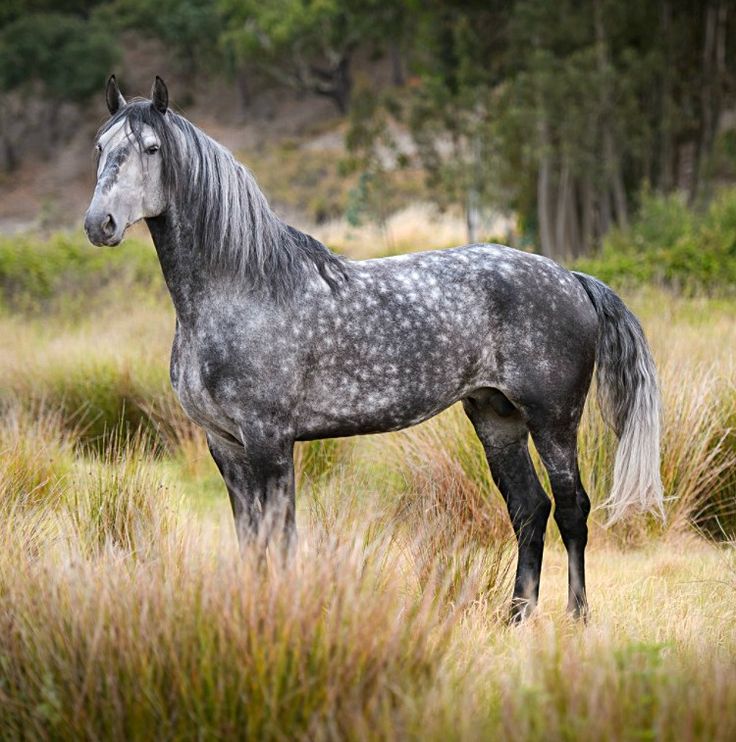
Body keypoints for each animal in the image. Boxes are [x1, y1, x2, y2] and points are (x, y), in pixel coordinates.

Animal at [84, 76, 663, 622]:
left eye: (152, 148)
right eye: (100, 146)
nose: (99, 224)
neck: (243, 289)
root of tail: (571, 277)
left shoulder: (270, 442)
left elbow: (282, 539)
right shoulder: (225, 445)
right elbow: (252, 542)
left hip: (553, 421)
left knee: (571, 509)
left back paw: (576, 617)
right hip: (496, 419)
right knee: (529, 510)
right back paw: (516, 617)